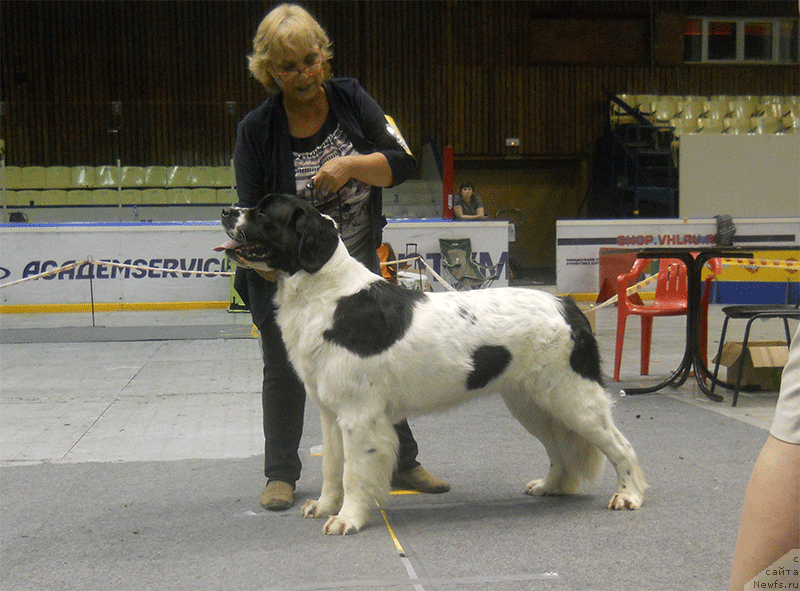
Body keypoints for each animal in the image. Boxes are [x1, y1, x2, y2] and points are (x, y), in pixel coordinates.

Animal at [219, 195, 644, 536]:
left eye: (262, 212)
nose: (225, 210)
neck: (324, 294)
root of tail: (569, 305)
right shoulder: (330, 411)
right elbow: (332, 466)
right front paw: (325, 507)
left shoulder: (358, 415)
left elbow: (354, 471)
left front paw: (347, 519)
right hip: (532, 403)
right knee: (558, 448)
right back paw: (551, 485)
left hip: (573, 397)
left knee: (621, 445)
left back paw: (629, 495)